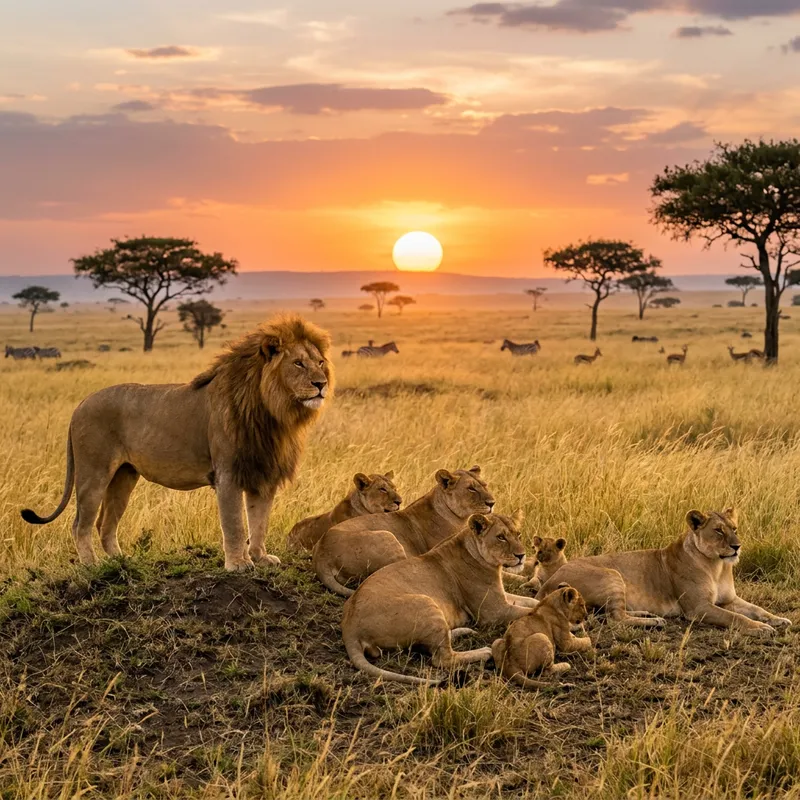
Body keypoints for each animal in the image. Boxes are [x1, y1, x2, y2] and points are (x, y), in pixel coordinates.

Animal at [20, 314, 333, 572]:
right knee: (80, 525)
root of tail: (80, 404)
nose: (321, 384)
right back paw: (92, 566)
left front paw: (260, 557)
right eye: (298, 363)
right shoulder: (228, 474)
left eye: (320, 363)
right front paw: (239, 564)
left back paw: (122, 562)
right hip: (93, 472)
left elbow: (259, 522)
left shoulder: (261, 471)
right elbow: (234, 524)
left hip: (124, 476)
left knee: (105, 524)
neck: (272, 412)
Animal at [312, 466, 496, 597]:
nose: (492, 503)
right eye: (471, 489)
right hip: (388, 537)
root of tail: (321, 555)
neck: (459, 518)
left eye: (485, 485)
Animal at [341, 511, 538, 685]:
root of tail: (350, 628)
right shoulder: (493, 612)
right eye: (501, 537)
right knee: (442, 659)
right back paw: (484, 651)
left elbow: (532, 602)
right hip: (426, 602)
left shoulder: (501, 598)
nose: (522, 556)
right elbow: (529, 612)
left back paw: (462, 631)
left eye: (518, 534)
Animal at [537, 508, 792, 636]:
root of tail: (549, 582)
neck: (717, 567)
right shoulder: (698, 608)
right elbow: (735, 617)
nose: (737, 546)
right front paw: (761, 628)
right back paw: (655, 622)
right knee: (615, 619)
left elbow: (756, 609)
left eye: (735, 529)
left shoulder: (729, 599)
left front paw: (779, 620)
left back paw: (648, 615)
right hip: (612, 575)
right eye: (719, 531)